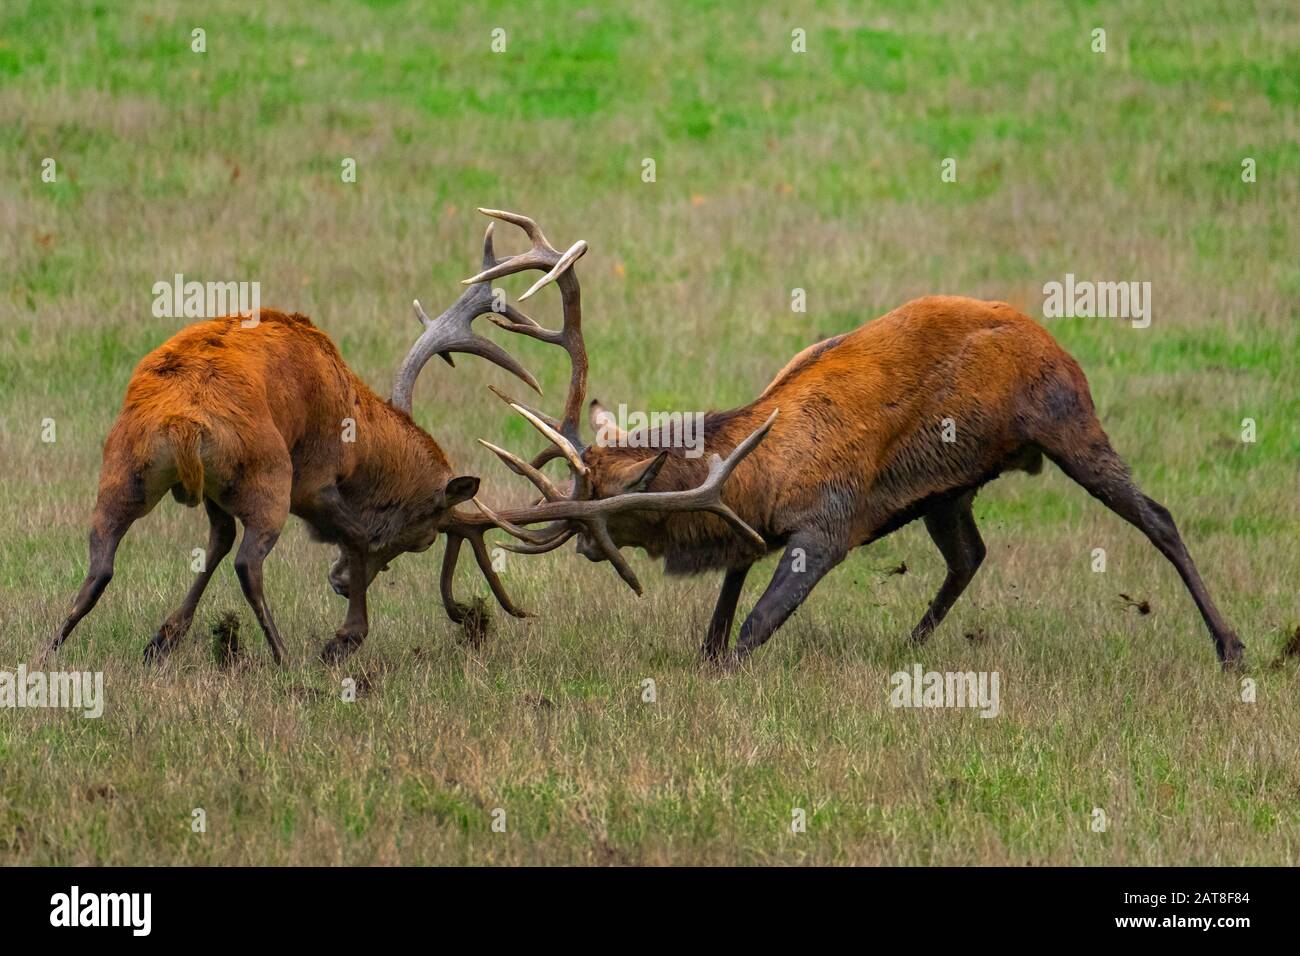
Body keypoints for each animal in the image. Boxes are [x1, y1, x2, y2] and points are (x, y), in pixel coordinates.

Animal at [39, 225, 553, 671]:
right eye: (424, 535)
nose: (340, 582)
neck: (359, 432)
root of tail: (181, 423)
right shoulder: (315, 478)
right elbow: (356, 534)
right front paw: (344, 639)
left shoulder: (216, 495)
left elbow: (217, 541)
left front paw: (162, 639)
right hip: (268, 473)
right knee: (248, 561)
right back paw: (283, 656)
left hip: (124, 466)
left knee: (101, 560)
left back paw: (48, 650)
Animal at [480, 231, 1248, 671]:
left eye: (611, 505)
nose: (579, 543)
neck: (757, 476)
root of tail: (1057, 343)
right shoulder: (752, 529)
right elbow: (719, 620)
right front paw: (705, 653)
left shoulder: (828, 525)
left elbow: (753, 630)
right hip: (949, 488)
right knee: (970, 554)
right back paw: (910, 644)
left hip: (1070, 424)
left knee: (1158, 517)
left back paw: (1232, 648)